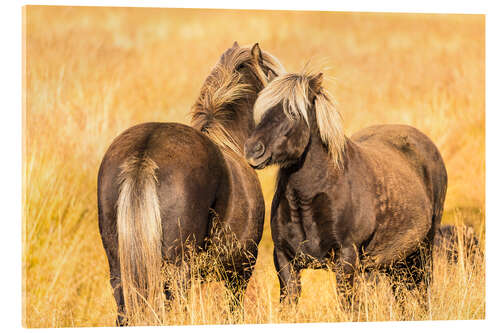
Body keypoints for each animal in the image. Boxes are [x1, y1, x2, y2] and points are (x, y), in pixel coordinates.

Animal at [244, 70, 448, 308]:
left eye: (293, 113)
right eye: (263, 111)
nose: (253, 150)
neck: (306, 201)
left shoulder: (346, 258)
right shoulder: (285, 261)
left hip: (423, 251)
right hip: (395, 261)